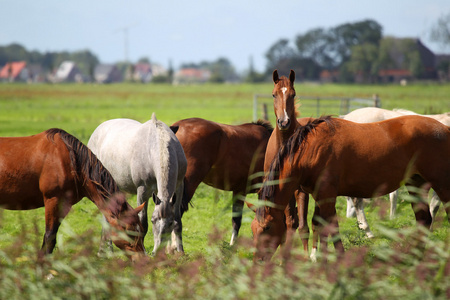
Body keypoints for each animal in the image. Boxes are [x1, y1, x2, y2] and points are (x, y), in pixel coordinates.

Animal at [0, 128, 145, 258]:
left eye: (140, 229)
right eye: (128, 230)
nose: (142, 258)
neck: (70, 162)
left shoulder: (64, 205)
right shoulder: (53, 201)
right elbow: (49, 237)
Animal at [88, 113, 186, 254]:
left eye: (170, 223)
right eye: (153, 220)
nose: (157, 251)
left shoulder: (179, 187)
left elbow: (179, 221)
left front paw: (181, 252)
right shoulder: (143, 190)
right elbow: (142, 222)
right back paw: (105, 251)